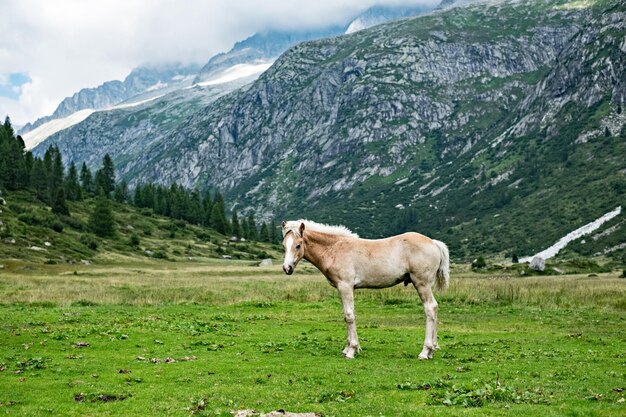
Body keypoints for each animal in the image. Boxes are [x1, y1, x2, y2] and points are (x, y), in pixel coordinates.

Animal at [280, 219, 448, 360]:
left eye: (298, 245)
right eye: (283, 245)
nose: (287, 268)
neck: (335, 249)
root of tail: (434, 243)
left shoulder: (346, 286)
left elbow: (349, 316)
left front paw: (352, 350)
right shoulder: (341, 288)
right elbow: (346, 315)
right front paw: (347, 348)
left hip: (422, 283)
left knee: (430, 308)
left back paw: (425, 351)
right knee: (435, 308)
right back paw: (432, 349)